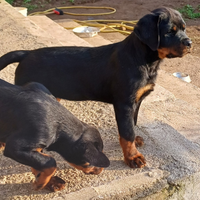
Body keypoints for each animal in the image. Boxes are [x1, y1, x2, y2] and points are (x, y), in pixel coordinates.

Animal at [0, 7, 191, 168]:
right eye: (169, 31)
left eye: (184, 28)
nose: (189, 43)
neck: (145, 60)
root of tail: (26, 54)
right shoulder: (124, 103)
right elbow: (126, 132)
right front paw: (133, 157)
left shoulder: (136, 101)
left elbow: (132, 124)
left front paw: (135, 142)